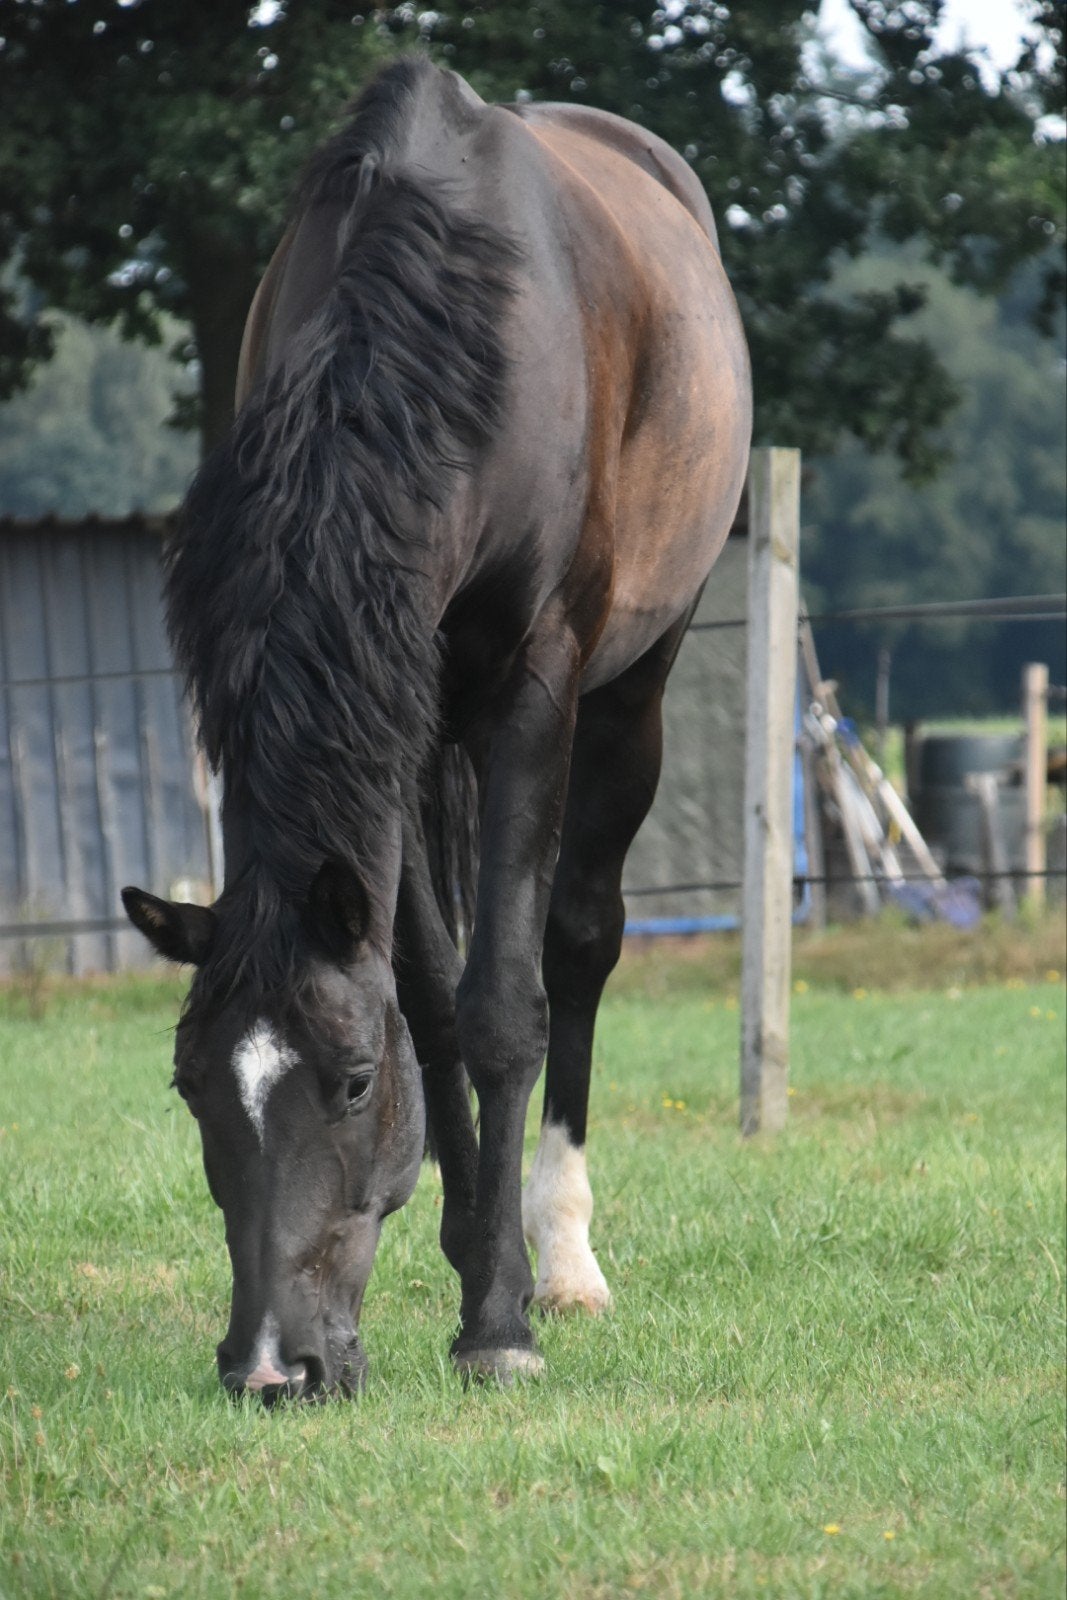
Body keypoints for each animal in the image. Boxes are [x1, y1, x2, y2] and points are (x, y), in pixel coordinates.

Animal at [123, 56, 750, 1399]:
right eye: (190, 1085)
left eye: (354, 1079)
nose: (272, 1367)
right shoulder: (394, 721)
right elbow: (433, 994)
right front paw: (469, 1256)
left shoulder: (535, 688)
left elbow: (506, 1000)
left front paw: (501, 1318)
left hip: (634, 691)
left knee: (579, 942)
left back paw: (563, 1256)